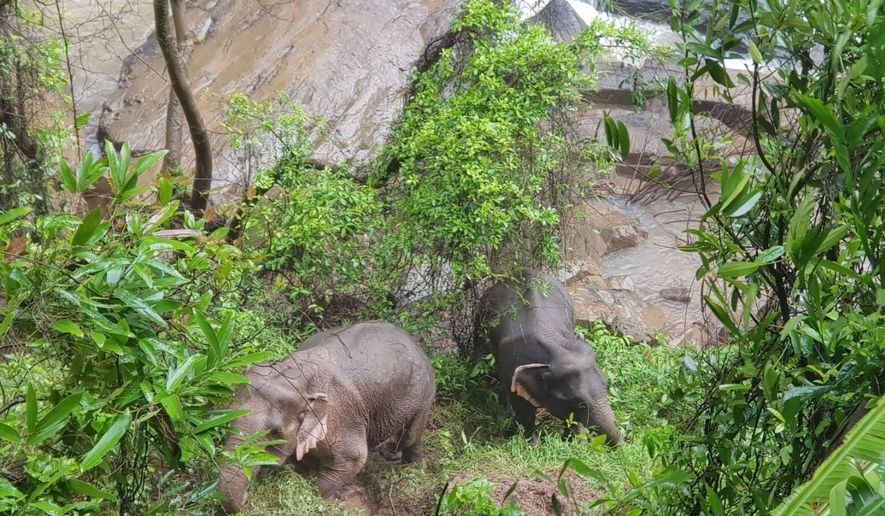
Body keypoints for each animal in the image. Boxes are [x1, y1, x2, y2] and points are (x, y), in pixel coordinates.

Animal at [218, 321, 436, 514]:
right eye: (228, 419)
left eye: (274, 433)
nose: (246, 498)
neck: (295, 377)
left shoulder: (341, 417)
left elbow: (354, 458)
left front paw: (324, 499)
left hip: (425, 395)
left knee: (411, 437)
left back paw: (415, 469)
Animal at [473, 269, 621, 445]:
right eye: (578, 402)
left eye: (606, 385)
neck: (553, 346)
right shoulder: (510, 367)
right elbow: (523, 411)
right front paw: (534, 445)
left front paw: (572, 442)